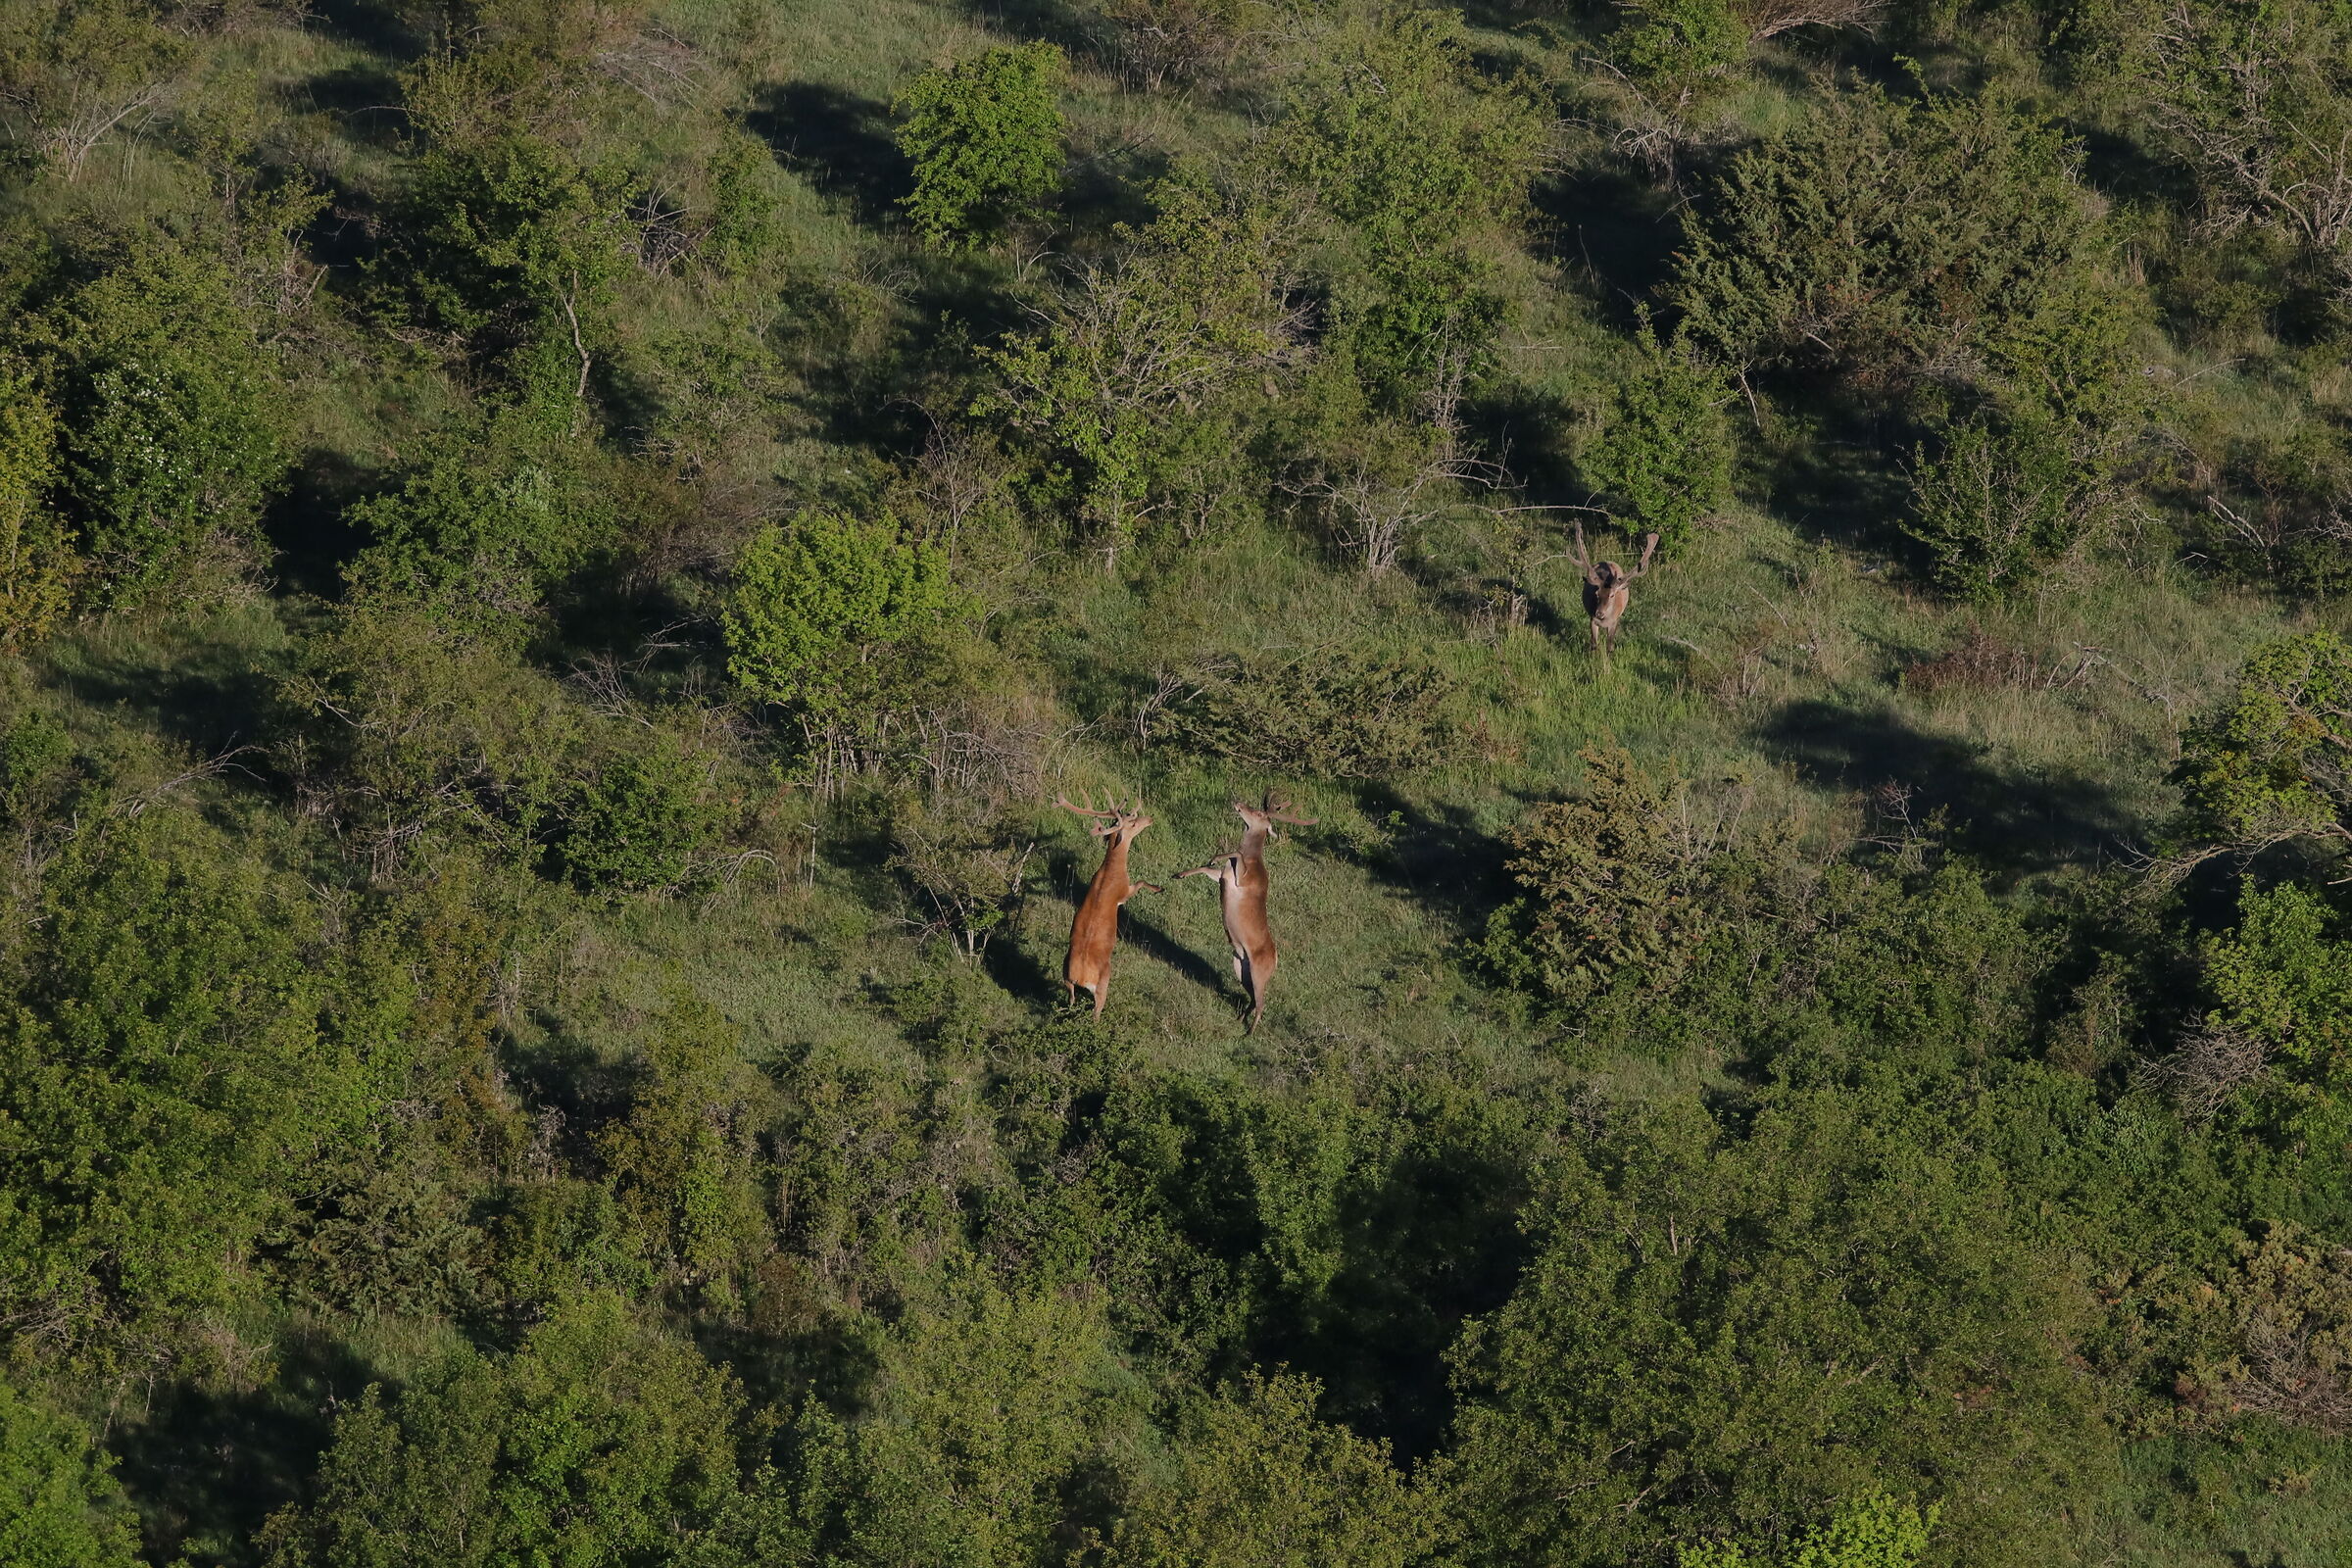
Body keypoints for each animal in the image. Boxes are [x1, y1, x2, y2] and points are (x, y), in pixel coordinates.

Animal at [1058, 791, 1162, 1018]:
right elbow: (1140, 882)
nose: (1150, 819)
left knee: (1070, 999)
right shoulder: (1124, 891)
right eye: (1133, 823)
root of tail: (1080, 976)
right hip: (1104, 980)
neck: (1110, 870)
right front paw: (1159, 888)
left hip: (1065, 975)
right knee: (1096, 1012)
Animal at [1179, 792, 1316, 1032]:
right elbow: (1207, 869)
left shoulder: (1242, 880)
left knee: (1262, 1002)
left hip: (1259, 972)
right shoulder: (1223, 877)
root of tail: (1276, 959)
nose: (1238, 803)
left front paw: (1215, 857)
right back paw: (1239, 1019)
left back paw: (1249, 1032)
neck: (1253, 859)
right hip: (1240, 966)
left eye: (1259, 813)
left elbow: (1236, 854)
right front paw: (1179, 874)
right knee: (1252, 998)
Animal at [1572, 520, 1660, 666]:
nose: (1599, 613)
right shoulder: (1592, 619)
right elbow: (1594, 644)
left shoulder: (1614, 621)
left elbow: (1610, 646)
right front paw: (1592, 660)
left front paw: (1609, 662)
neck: (1605, 620)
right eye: (1597, 594)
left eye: (1612, 595)